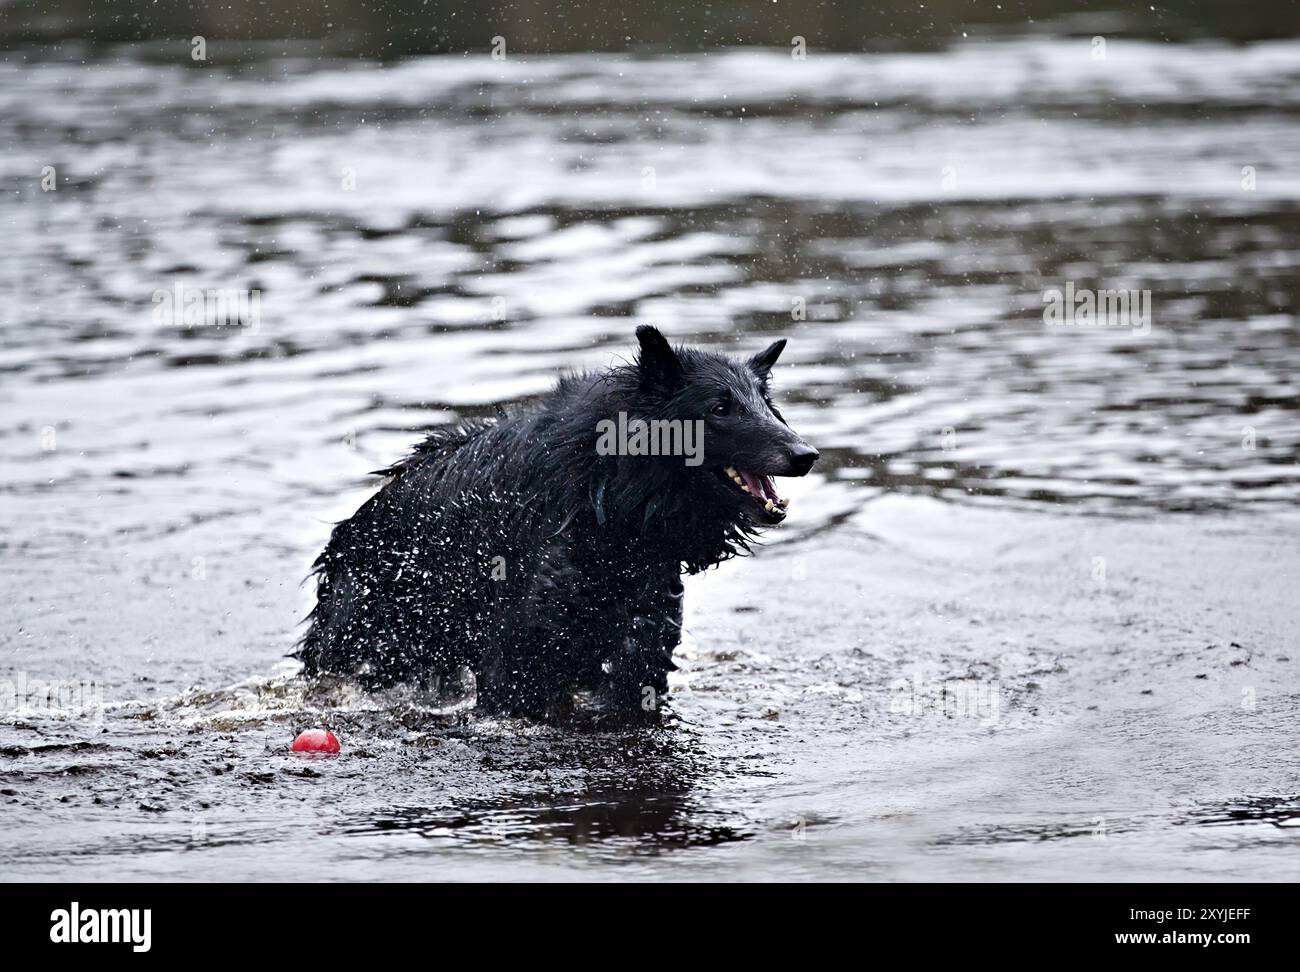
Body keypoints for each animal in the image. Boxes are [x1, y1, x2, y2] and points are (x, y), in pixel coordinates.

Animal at [299, 326, 816, 722]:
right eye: (720, 407)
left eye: (765, 405)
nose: (806, 454)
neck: (612, 502)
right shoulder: (518, 659)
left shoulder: (641, 652)